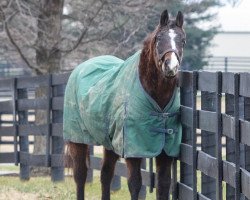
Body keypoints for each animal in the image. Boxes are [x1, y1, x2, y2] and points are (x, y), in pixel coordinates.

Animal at [64, 9, 186, 200]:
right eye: (159, 38)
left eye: (183, 40)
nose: (171, 66)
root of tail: (80, 67)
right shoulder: (133, 151)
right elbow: (135, 184)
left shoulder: (165, 152)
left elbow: (163, 185)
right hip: (77, 139)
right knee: (80, 175)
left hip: (110, 144)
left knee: (106, 174)